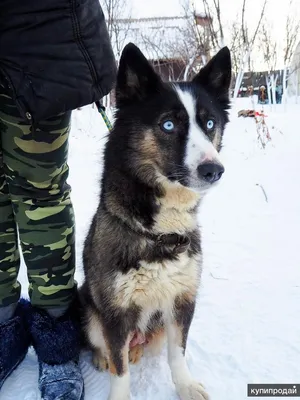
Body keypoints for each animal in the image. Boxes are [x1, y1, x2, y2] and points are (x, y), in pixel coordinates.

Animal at [80, 42, 232, 398]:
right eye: (168, 125)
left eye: (209, 124)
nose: (214, 170)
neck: (161, 232)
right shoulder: (115, 312)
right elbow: (119, 370)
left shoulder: (182, 301)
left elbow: (178, 353)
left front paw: (185, 386)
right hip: (90, 312)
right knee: (106, 347)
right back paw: (102, 357)